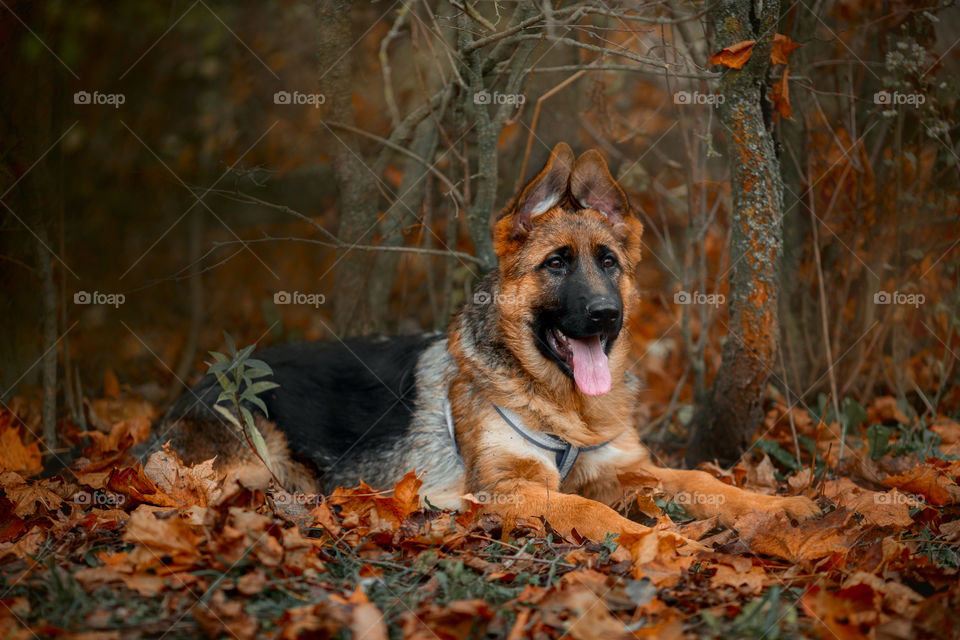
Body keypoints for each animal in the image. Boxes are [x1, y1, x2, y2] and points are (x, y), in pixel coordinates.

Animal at [150, 144, 816, 540]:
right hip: (259, 467)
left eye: (608, 262)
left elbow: (704, 481)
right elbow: (592, 510)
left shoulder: (624, 469)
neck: (564, 406)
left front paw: (775, 508)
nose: (604, 315)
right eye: (556, 263)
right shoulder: (506, 489)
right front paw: (655, 539)